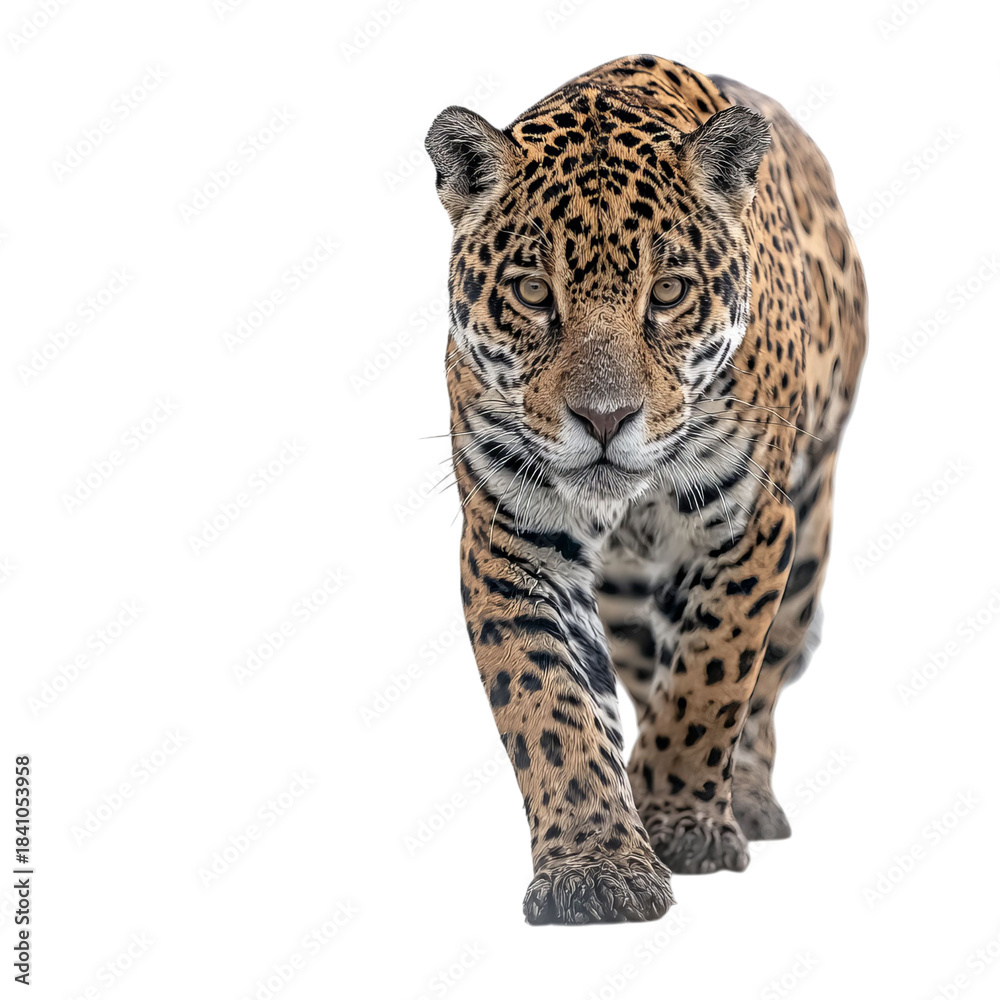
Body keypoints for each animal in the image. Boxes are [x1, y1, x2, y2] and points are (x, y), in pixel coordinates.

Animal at [425, 54, 866, 925]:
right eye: (533, 294)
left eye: (668, 294)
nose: (604, 418)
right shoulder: (510, 542)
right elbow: (549, 704)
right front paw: (595, 861)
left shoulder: (749, 527)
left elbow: (710, 678)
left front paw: (680, 822)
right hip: (628, 597)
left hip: (807, 541)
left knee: (765, 681)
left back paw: (745, 796)